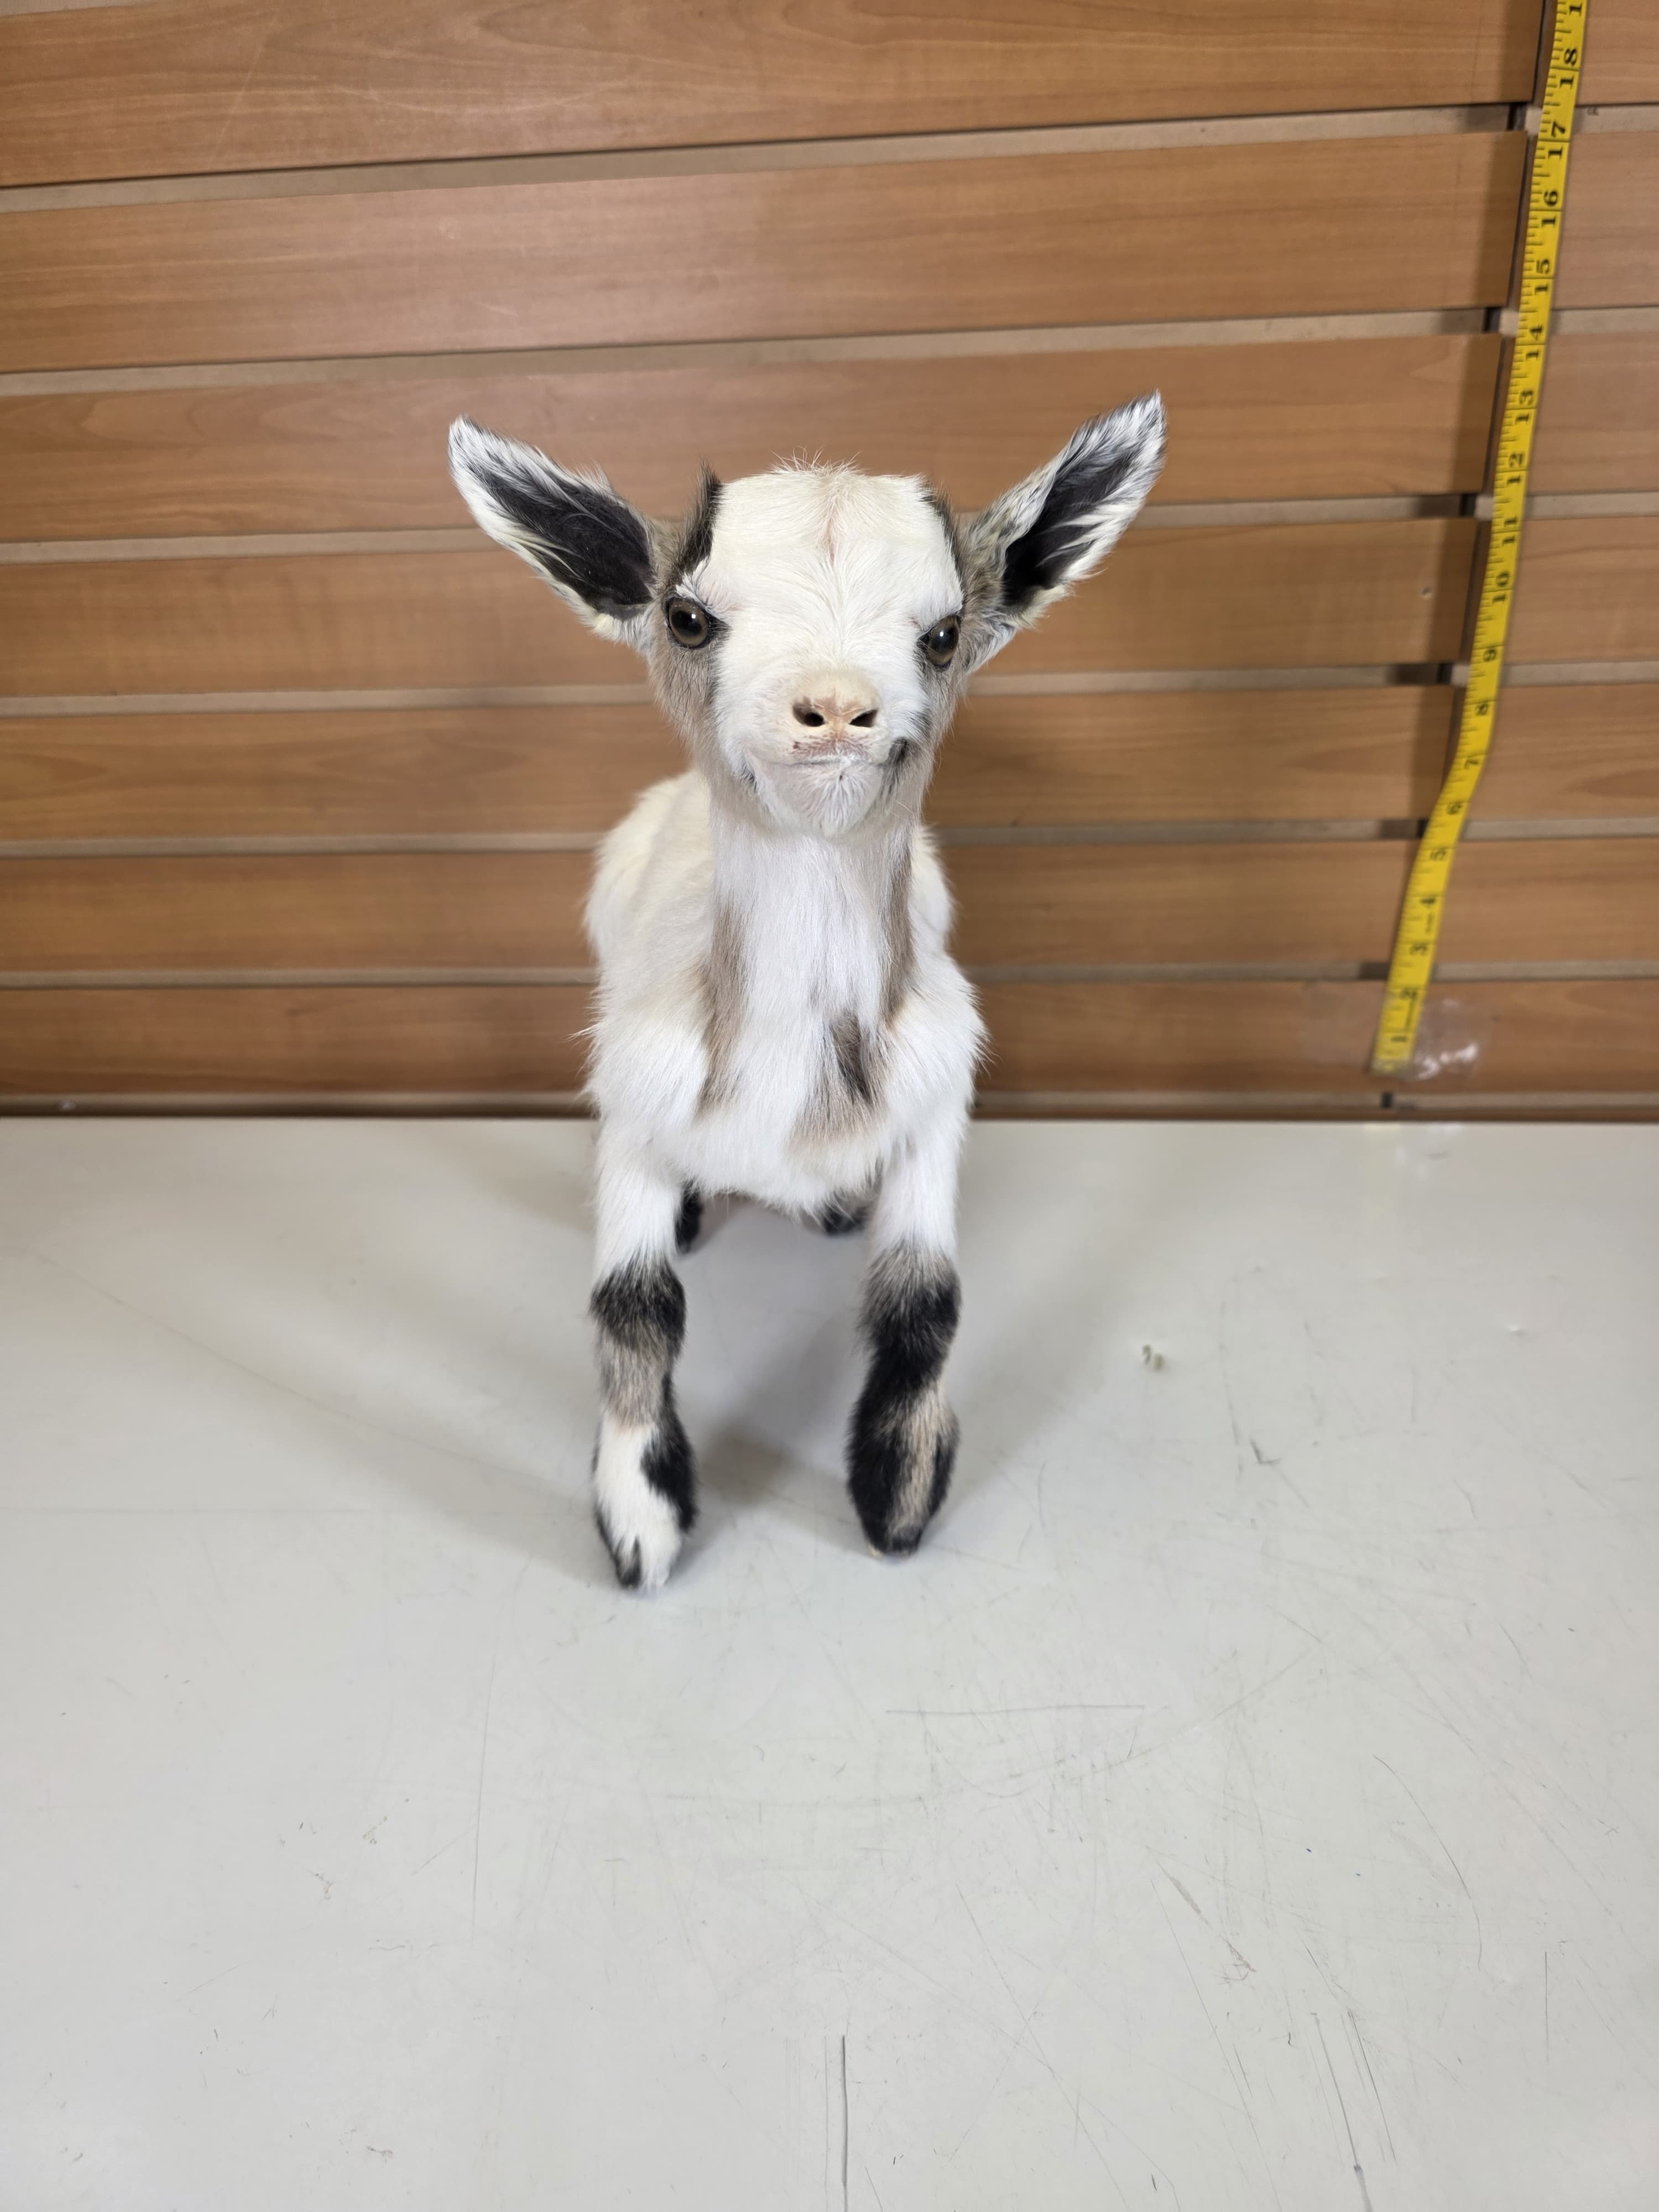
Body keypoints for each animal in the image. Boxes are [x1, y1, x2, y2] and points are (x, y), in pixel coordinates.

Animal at [449, 396, 1165, 1589]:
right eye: (688, 617)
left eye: (945, 630)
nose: (832, 707)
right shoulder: (638, 1107)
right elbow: (633, 1303)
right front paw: (641, 1520)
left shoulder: (934, 1104)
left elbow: (926, 1302)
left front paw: (900, 1494)